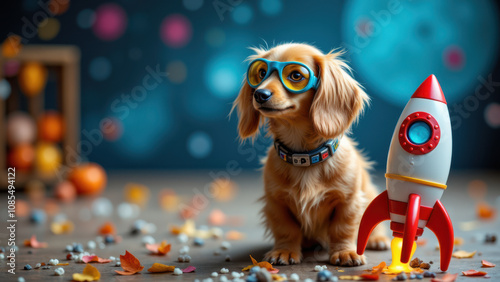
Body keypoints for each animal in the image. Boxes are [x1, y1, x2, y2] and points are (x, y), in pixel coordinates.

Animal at [232, 43, 388, 266]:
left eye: (296, 75)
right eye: (261, 73)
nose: (260, 94)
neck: (304, 158)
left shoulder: (348, 201)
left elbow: (343, 228)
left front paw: (345, 252)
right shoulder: (276, 202)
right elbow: (286, 229)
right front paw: (284, 251)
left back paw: (378, 239)